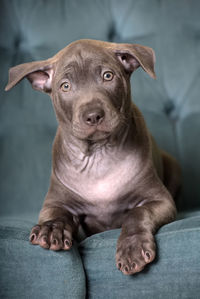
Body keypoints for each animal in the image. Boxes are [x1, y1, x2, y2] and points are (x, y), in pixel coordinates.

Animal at [4, 39, 180, 276]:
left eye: (108, 76)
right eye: (65, 86)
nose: (93, 115)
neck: (98, 154)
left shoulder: (161, 201)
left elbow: (137, 213)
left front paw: (132, 247)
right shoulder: (55, 202)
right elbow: (57, 214)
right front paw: (51, 228)